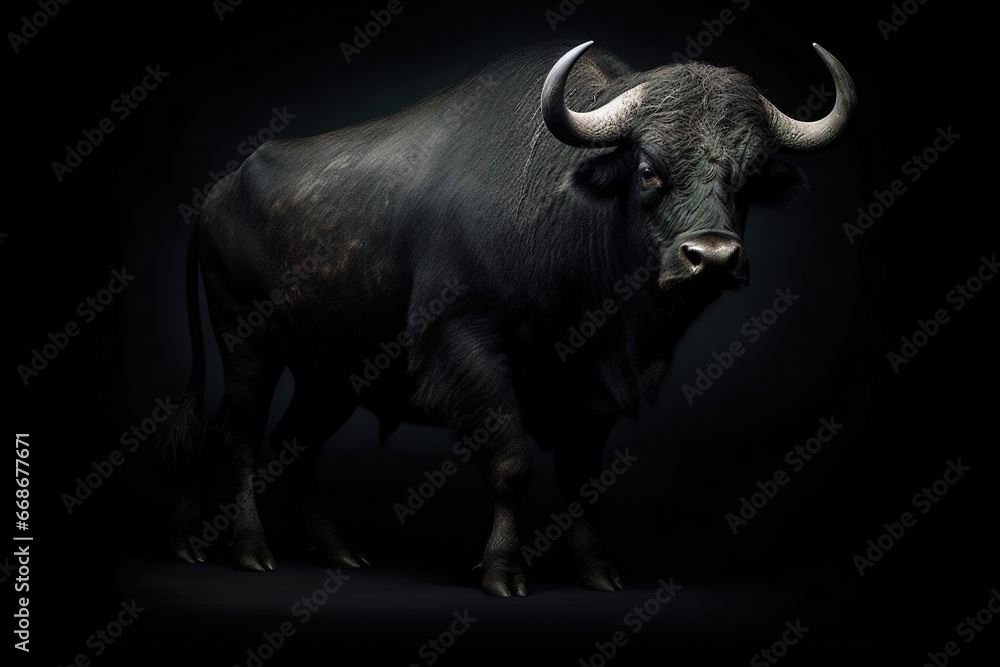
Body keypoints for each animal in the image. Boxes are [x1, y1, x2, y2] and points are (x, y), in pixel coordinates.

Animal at [159, 40, 856, 597]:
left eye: (748, 177)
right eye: (649, 170)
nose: (711, 257)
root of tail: (216, 196)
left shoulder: (590, 383)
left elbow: (580, 475)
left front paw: (596, 569)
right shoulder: (465, 346)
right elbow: (511, 461)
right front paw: (502, 570)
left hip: (330, 372)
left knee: (291, 441)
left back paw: (304, 547)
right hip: (247, 344)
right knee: (239, 432)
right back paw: (250, 550)